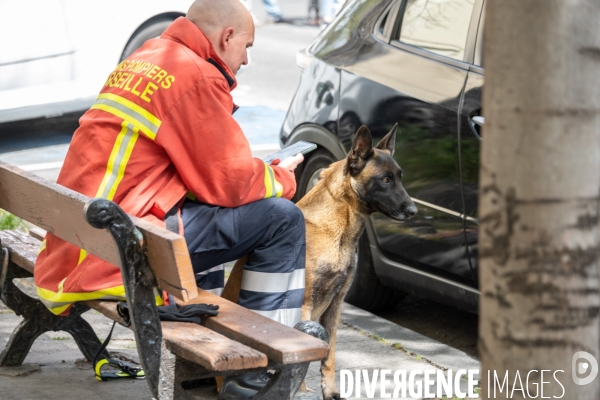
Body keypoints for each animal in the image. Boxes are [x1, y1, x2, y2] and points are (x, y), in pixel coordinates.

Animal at [221, 125, 418, 400]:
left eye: (399, 176)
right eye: (385, 180)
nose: (413, 211)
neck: (339, 227)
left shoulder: (335, 305)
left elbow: (329, 355)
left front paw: (330, 391)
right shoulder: (304, 304)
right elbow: (301, 358)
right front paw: (301, 391)